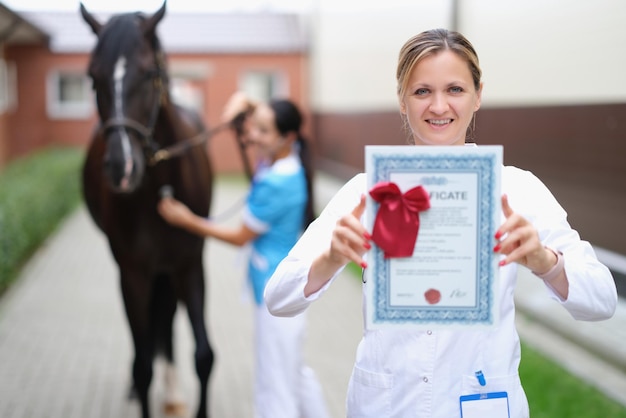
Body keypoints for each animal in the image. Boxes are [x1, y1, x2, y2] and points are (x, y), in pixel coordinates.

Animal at [79, 1, 216, 416]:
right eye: (93, 78)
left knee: (167, 320)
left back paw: (172, 393)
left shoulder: (190, 264)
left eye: (150, 73)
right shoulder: (133, 272)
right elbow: (142, 366)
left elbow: (204, 356)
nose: (122, 168)